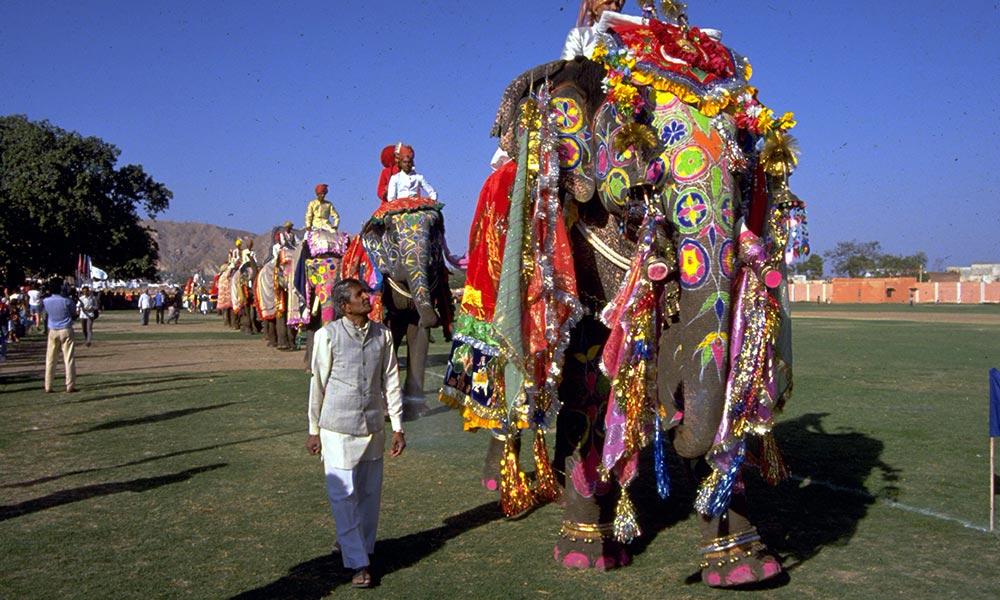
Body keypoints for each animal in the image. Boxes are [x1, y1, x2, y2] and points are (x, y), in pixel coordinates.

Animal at [442, 10, 808, 592]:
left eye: (743, 148)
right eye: (641, 134)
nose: (673, 410)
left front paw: (747, 565)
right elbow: (588, 375)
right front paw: (585, 554)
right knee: (504, 389)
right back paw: (506, 488)